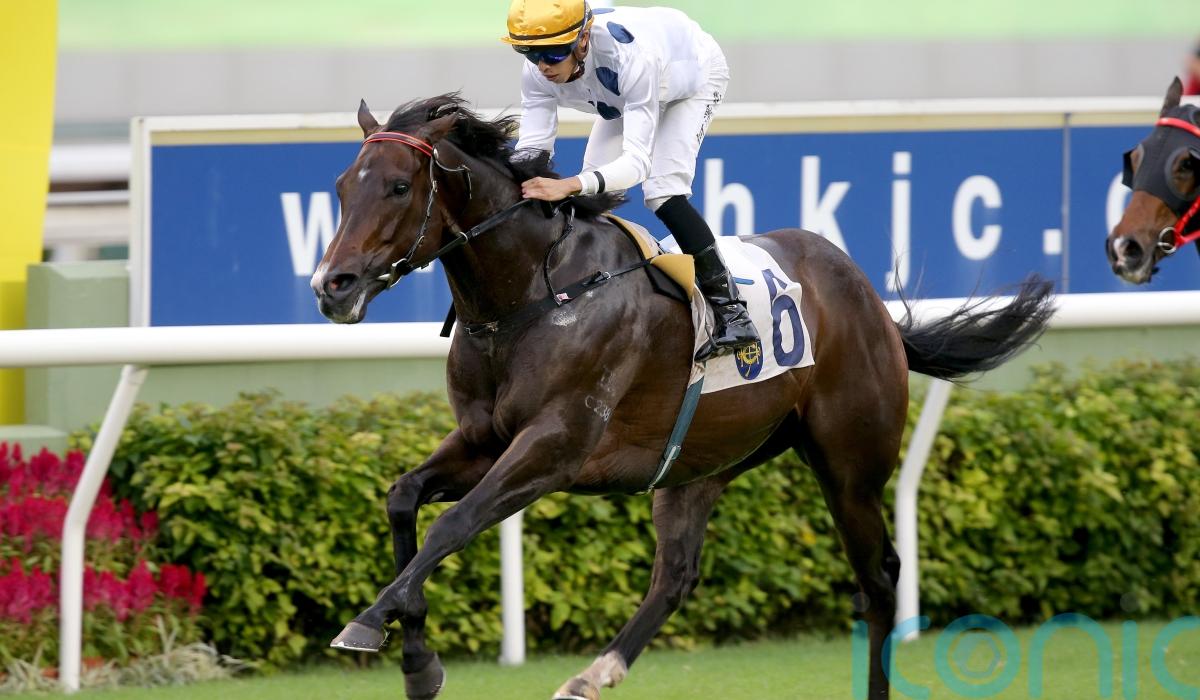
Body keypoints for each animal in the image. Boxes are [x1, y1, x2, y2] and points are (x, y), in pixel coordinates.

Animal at [310, 94, 1055, 700]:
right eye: (343, 187)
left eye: (399, 187)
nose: (331, 285)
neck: (532, 295)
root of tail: (873, 304)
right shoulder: (482, 439)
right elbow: (403, 497)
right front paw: (415, 659)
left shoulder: (554, 445)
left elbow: (454, 524)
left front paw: (368, 620)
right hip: (703, 461)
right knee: (676, 574)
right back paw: (590, 676)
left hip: (851, 465)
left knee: (879, 580)